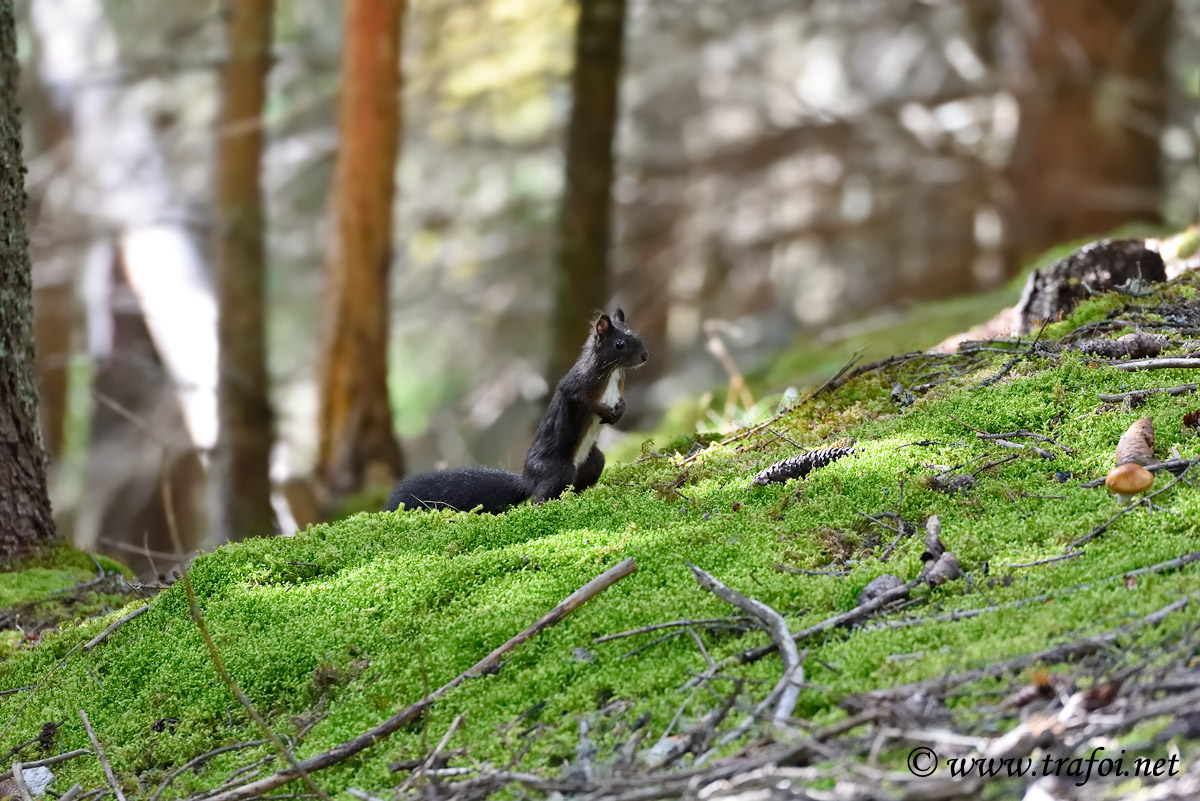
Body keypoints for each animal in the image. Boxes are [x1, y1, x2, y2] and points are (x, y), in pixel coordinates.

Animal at [385, 309, 648, 513]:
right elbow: (581, 401)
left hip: (593, 463)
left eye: (637, 336)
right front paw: (607, 412)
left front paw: (620, 411)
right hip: (559, 470)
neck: (612, 372)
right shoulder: (577, 385)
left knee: (577, 483)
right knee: (540, 497)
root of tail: (528, 479)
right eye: (619, 344)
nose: (645, 356)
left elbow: (622, 401)